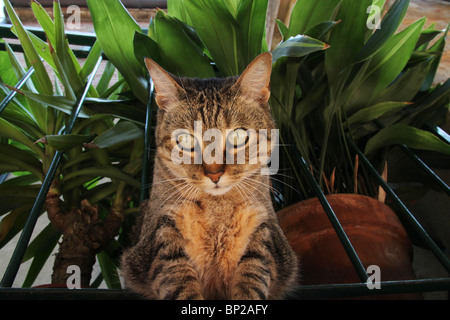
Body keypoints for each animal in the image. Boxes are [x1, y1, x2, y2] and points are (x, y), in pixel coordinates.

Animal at [121, 52, 300, 300]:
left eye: (238, 136)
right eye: (185, 139)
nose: (214, 174)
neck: (217, 210)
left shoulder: (264, 231)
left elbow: (253, 275)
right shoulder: (161, 235)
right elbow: (178, 281)